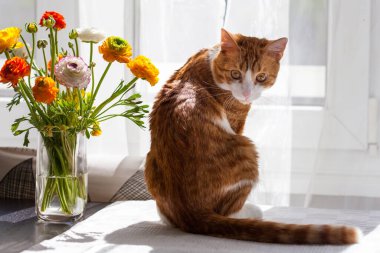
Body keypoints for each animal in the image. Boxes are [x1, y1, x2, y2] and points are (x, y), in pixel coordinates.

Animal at [144, 28, 360, 244]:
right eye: (235, 74)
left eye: (261, 77)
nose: (247, 94)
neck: (210, 66)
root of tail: (190, 213)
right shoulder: (236, 123)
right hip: (247, 152)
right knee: (227, 211)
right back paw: (250, 211)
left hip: (150, 160)